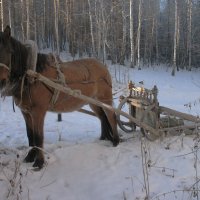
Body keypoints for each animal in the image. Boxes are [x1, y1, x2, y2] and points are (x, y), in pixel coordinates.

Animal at [0, 25, 119, 168]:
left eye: (9, 51)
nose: (1, 81)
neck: (31, 76)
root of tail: (103, 66)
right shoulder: (26, 112)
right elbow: (30, 135)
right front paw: (30, 157)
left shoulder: (38, 112)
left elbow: (38, 137)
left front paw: (39, 163)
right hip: (93, 102)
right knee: (102, 117)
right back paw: (103, 138)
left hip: (105, 99)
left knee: (111, 116)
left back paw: (116, 141)